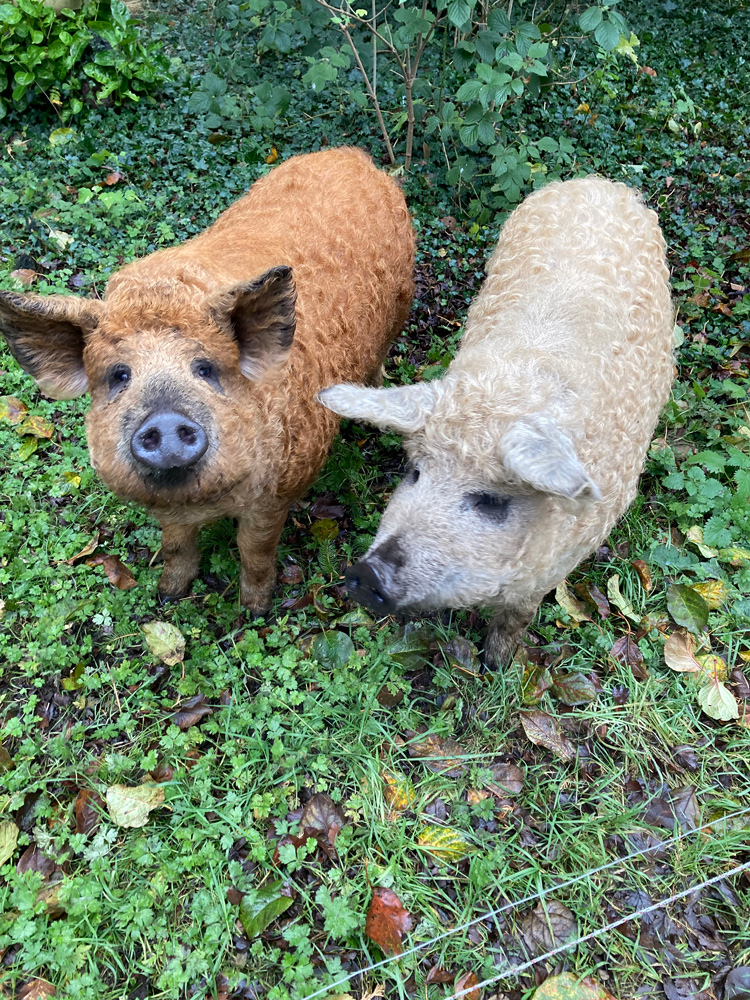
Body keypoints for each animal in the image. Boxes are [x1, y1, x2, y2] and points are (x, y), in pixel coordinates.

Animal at [1, 147, 418, 608]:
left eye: (205, 368)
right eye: (118, 375)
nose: (165, 421)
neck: (201, 502)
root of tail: (351, 155)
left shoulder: (278, 492)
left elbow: (255, 550)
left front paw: (254, 609)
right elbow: (175, 545)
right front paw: (168, 595)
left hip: (401, 304)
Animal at [322, 177, 676, 668]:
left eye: (491, 501)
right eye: (414, 472)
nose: (367, 574)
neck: (512, 391)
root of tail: (597, 184)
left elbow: (517, 617)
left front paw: (499, 664)